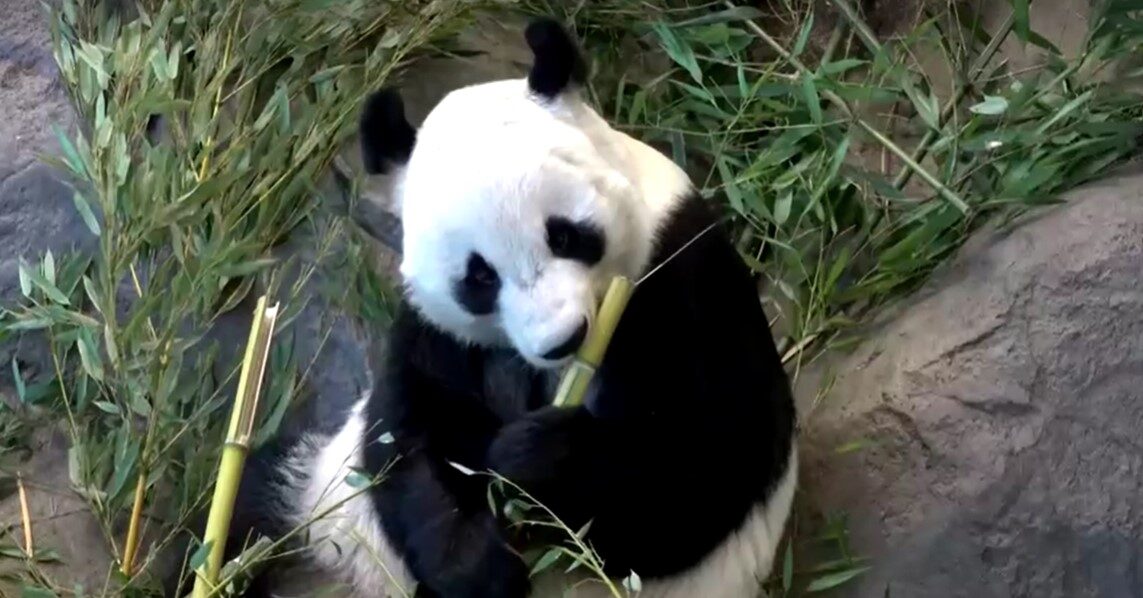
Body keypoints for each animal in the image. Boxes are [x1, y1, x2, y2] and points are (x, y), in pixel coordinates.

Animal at [187, 16, 795, 598]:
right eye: (479, 277)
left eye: (565, 235)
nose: (563, 338)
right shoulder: (437, 332)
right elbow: (409, 441)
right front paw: (475, 559)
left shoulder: (680, 276)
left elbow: (704, 466)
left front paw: (536, 460)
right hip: (320, 515)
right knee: (237, 516)